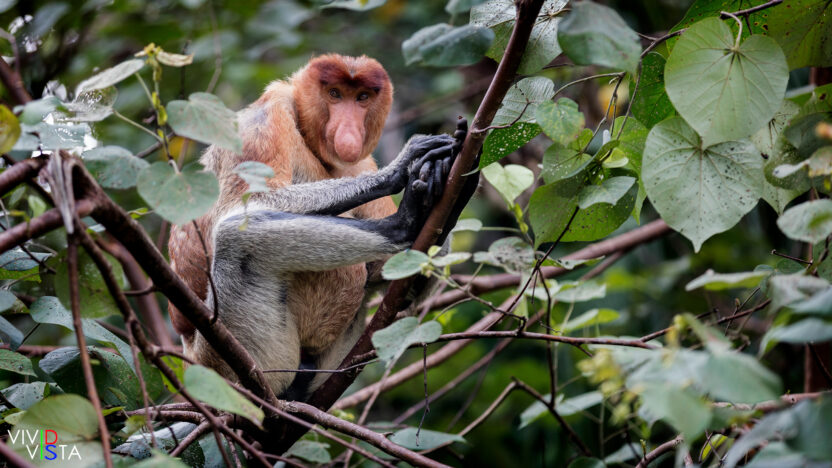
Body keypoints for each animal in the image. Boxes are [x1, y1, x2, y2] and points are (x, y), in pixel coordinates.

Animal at [168, 54, 476, 399]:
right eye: (335, 94)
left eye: (362, 97)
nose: (349, 129)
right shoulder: (264, 121)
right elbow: (248, 203)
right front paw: (402, 167)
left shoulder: (360, 161)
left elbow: (392, 276)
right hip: (227, 358)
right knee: (236, 240)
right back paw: (404, 222)